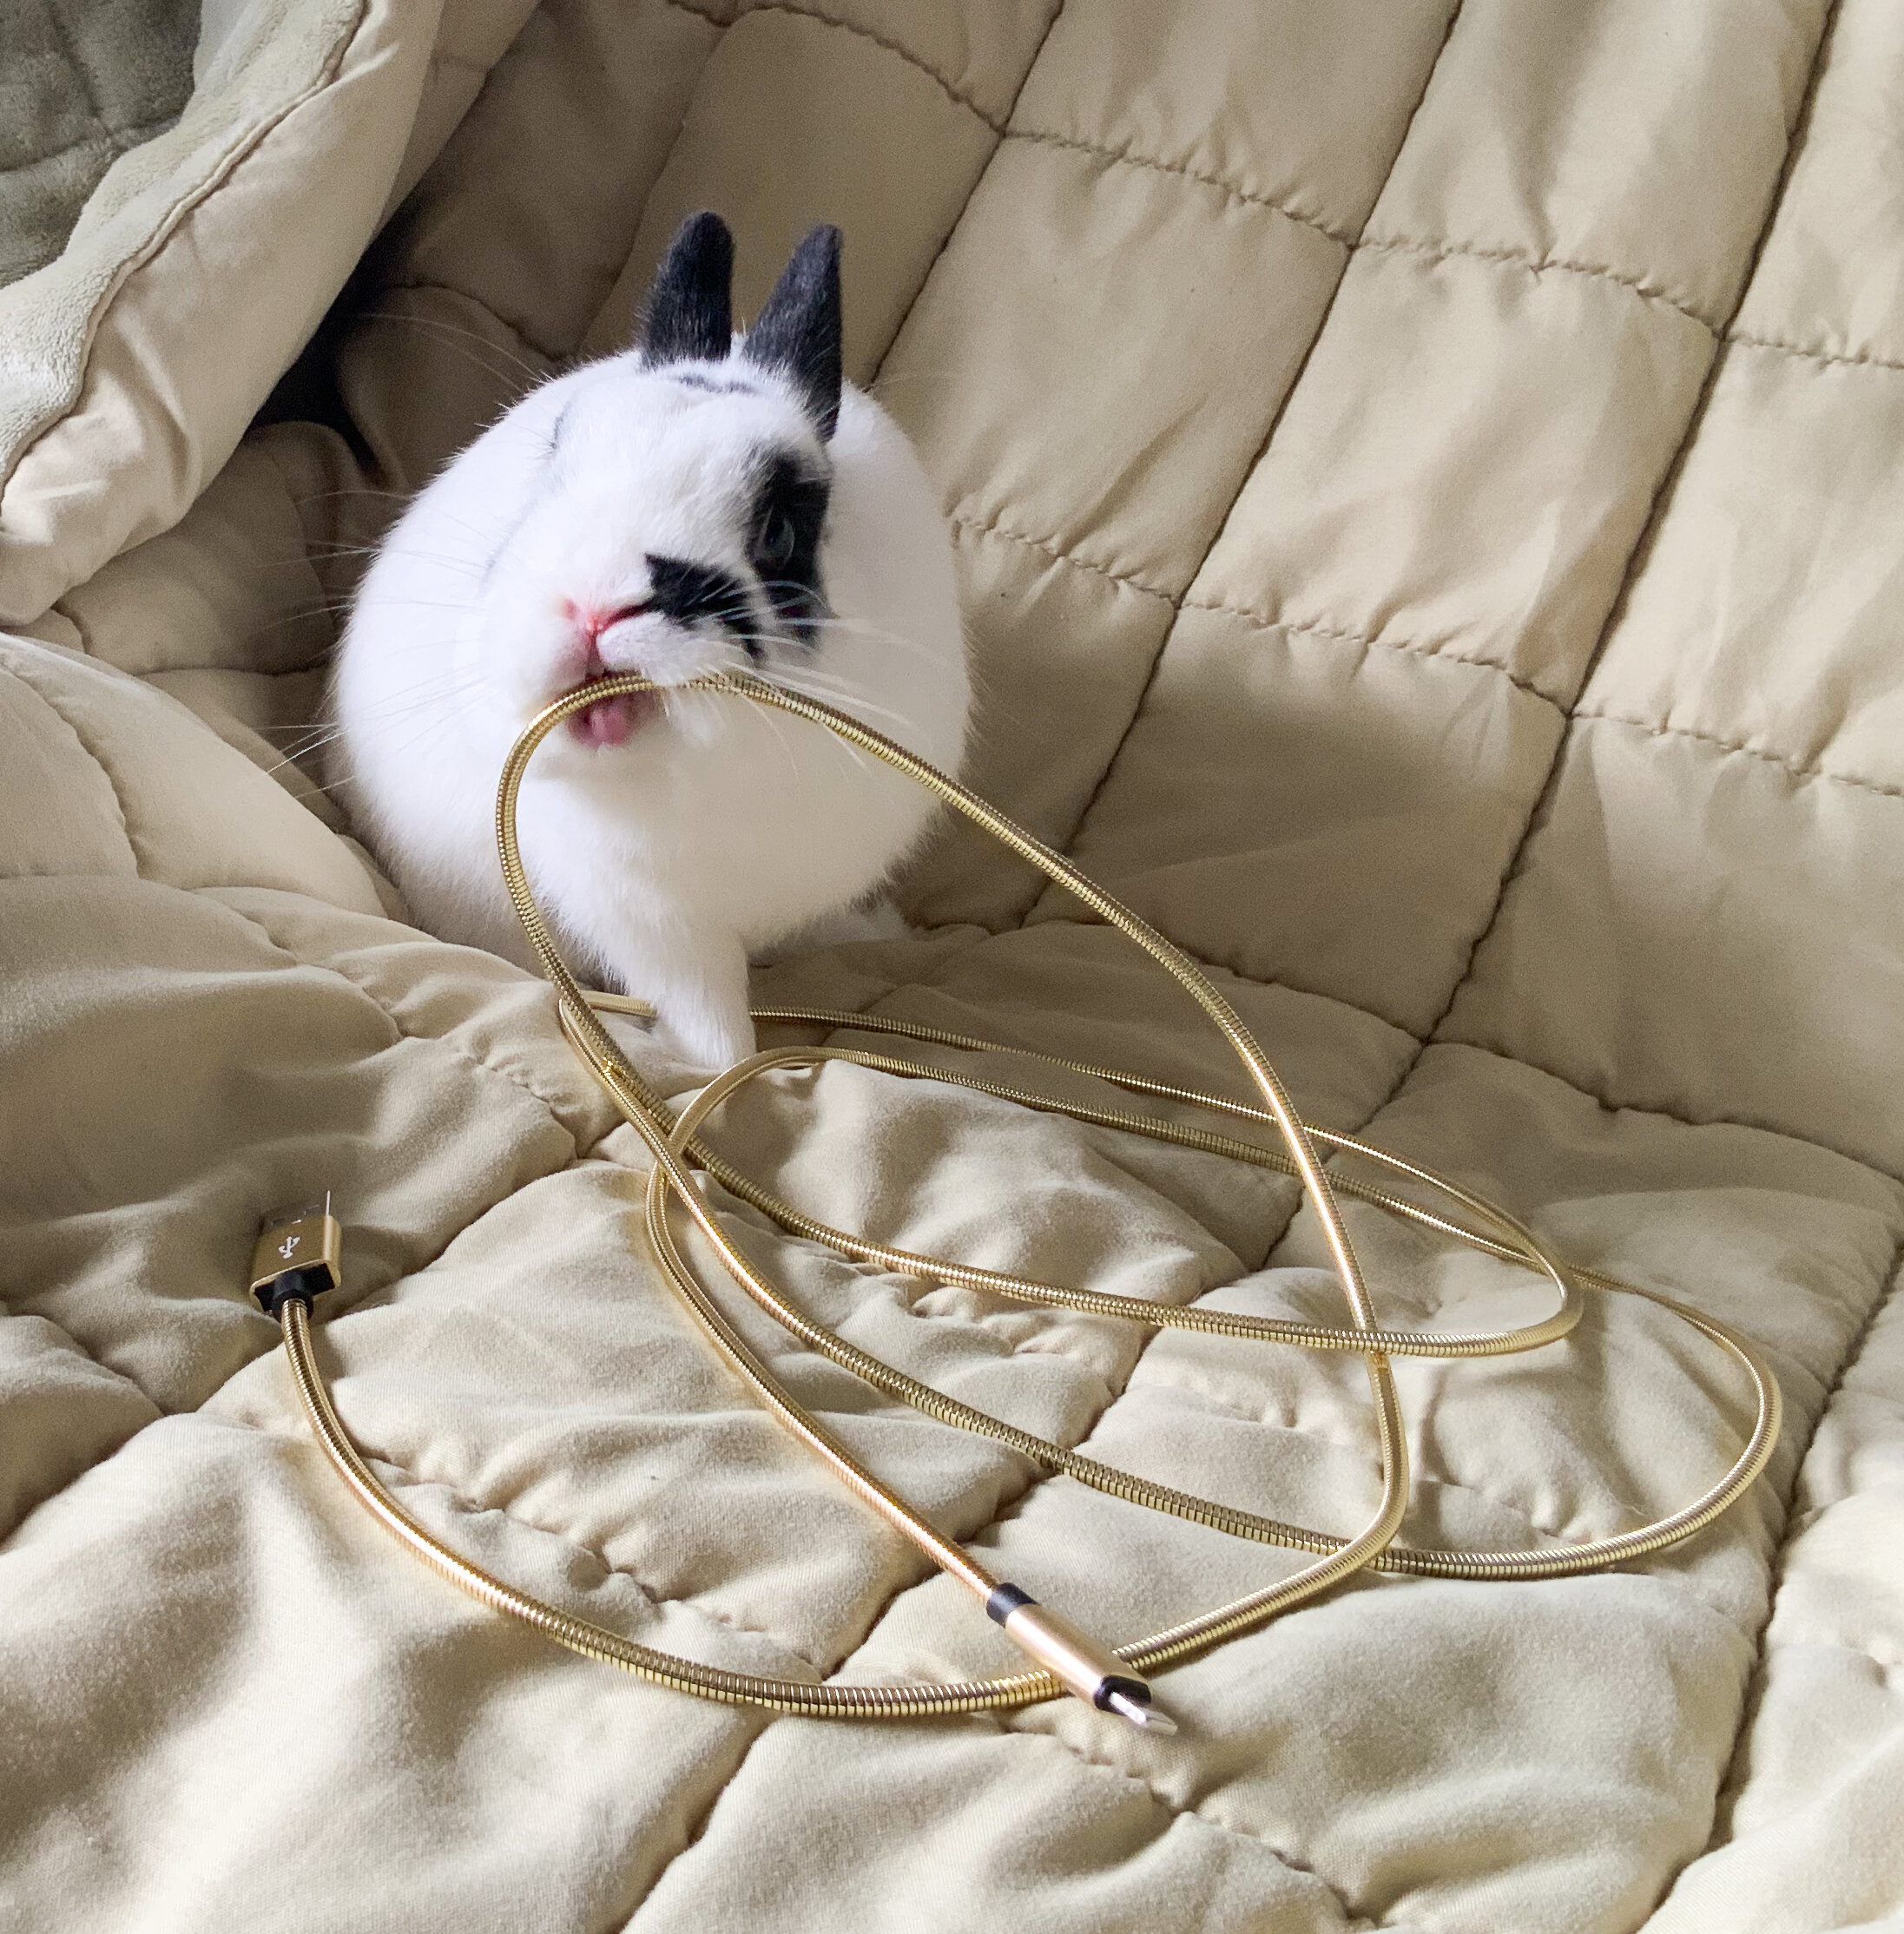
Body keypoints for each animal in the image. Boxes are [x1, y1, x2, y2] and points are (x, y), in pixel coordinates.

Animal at [331, 213, 970, 1071]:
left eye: (778, 532)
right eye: (555, 464)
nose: (594, 610)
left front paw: (877, 934)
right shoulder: (655, 925)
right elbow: (712, 1025)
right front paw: (699, 1066)